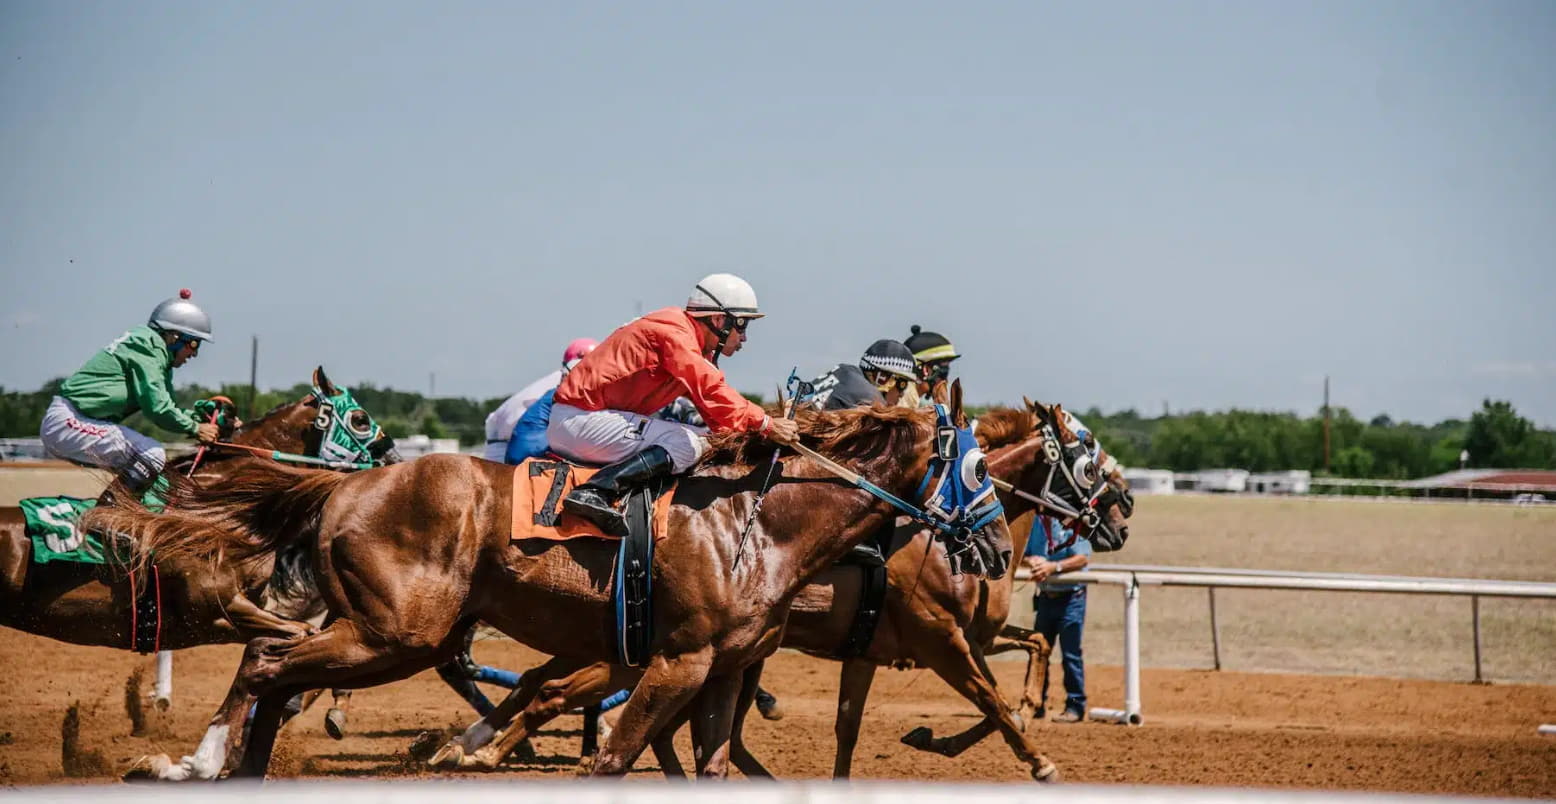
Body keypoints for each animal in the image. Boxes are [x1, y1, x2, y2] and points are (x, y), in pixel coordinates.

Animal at [87, 381, 1017, 781]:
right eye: (976, 467)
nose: (1001, 552)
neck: (757, 524)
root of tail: (345, 484)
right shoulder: (674, 660)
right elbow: (608, 757)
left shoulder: (719, 671)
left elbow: (709, 763)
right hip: (398, 633)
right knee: (271, 666)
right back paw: (201, 761)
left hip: (381, 630)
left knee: (275, 672)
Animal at [424, 399, 1129, 781]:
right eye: (1089, 454)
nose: (1121, 517)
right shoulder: (938, 637)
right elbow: (993, 700)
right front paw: (1035, 758)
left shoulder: (886, 648)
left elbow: (855, 724)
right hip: (634, 650)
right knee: (558, 692)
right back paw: (478, 748)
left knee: (560, 690)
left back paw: (474, 744)